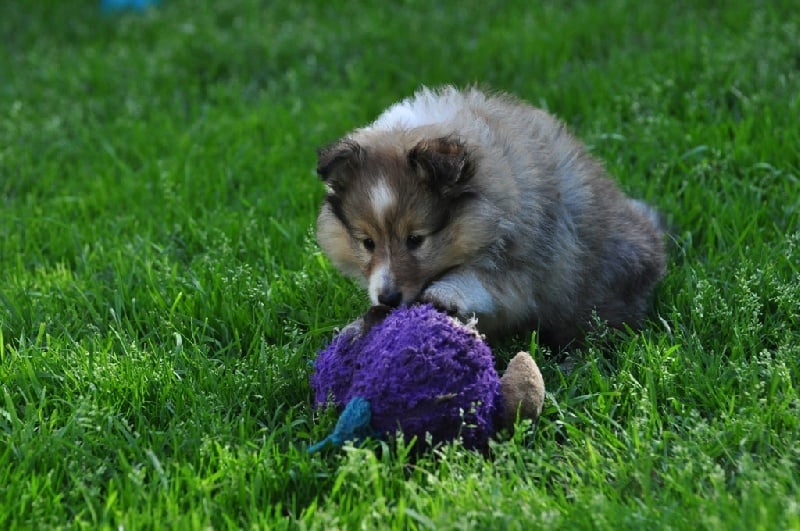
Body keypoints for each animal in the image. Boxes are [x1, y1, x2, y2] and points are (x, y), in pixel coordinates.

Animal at [316, 86, 664, 350]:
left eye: (416, 239)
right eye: (367, 243)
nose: (388, 298)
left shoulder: (523, 263)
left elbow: (479, 279)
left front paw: (444, 293)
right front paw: (356, 327)